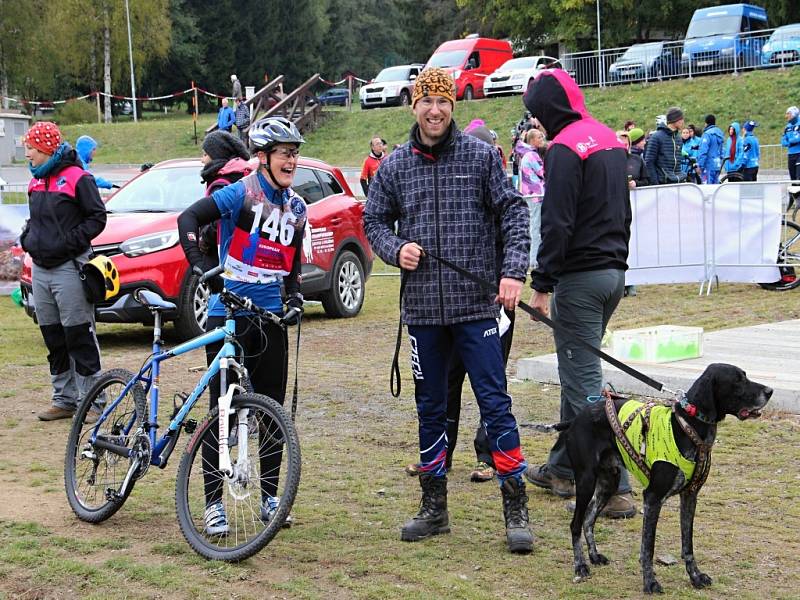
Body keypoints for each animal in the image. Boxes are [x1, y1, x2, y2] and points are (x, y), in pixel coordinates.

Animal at [552, 364, 772, 592]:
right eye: (738, 380)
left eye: (745, 376)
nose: (770, 391)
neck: (689, 427)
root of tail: (576, 419)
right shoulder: (653, 498)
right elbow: (648, 547)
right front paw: (650, 581)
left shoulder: (690, 496)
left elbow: (687, 545)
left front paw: (695, 576)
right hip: (586, 481)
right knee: (575, 524)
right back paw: (580, 565)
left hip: (609, 482)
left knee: (588, 519)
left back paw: (594, 556)